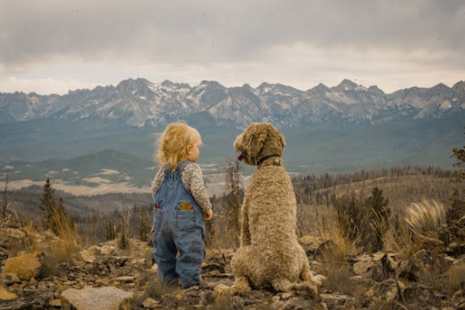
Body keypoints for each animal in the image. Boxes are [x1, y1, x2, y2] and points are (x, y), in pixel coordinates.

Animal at [229, 122, 318, 296]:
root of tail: (279, 276)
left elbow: (244, 235)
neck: (271, 164)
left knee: (243, 285)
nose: (235, 142)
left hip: (240, 258)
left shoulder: (245, 215)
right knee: (308, 276)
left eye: (246, 134)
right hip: (302, 255)